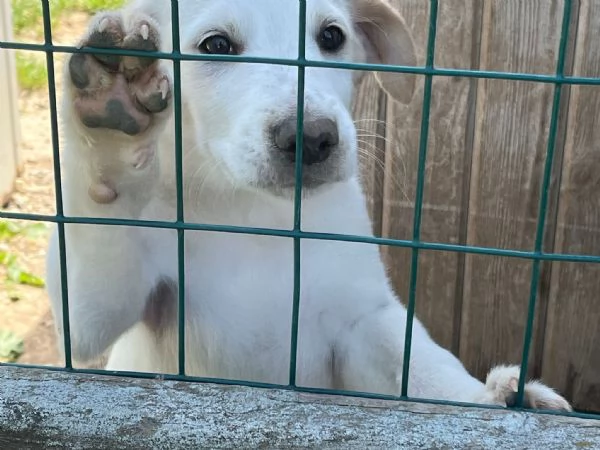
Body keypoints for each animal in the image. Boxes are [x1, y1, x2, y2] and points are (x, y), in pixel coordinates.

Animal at [47, 0, 572, 410]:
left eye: (331, 36)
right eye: (216, 45)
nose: (313, 138)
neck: (257, 213)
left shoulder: (361, 318)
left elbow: (422, 364)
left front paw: (491, 397)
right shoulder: (93, 315)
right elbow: (95, 239)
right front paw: (111, 132)